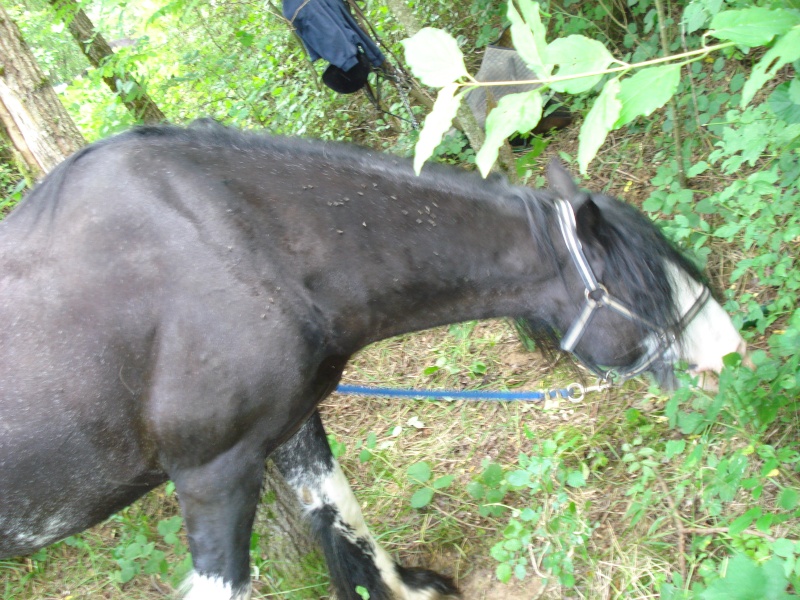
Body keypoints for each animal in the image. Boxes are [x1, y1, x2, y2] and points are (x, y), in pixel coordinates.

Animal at [0, 124, 744, 596]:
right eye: (645, 291)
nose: (732, 356)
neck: (230, 245)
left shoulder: (290, 425)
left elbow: (343, 514)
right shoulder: (212, 474)